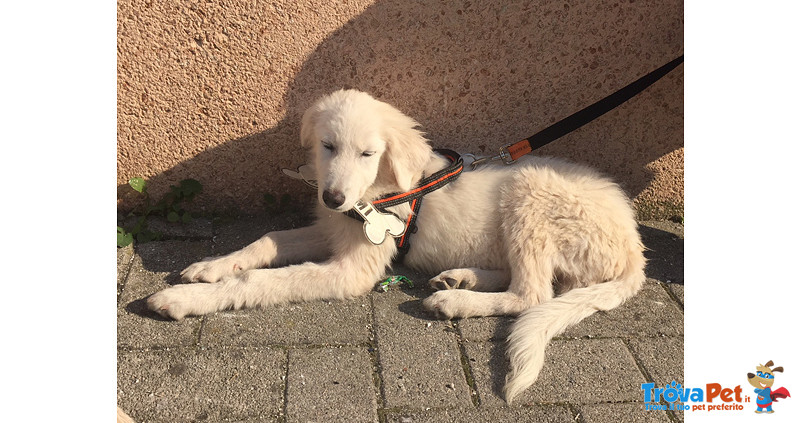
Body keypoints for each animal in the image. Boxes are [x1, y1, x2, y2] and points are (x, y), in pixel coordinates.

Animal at [147, 88, 648, 400]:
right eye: (327, 146)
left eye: (368, 153)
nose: (331, 197)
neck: (380, 192)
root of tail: (634, 249)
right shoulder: (331, 229)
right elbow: (264, 241)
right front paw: (211, 265)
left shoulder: (352, 269)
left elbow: (261, 281)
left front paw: (186, 298)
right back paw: (459, 278)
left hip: (530, 199)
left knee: (533, 293)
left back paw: (455, 301)